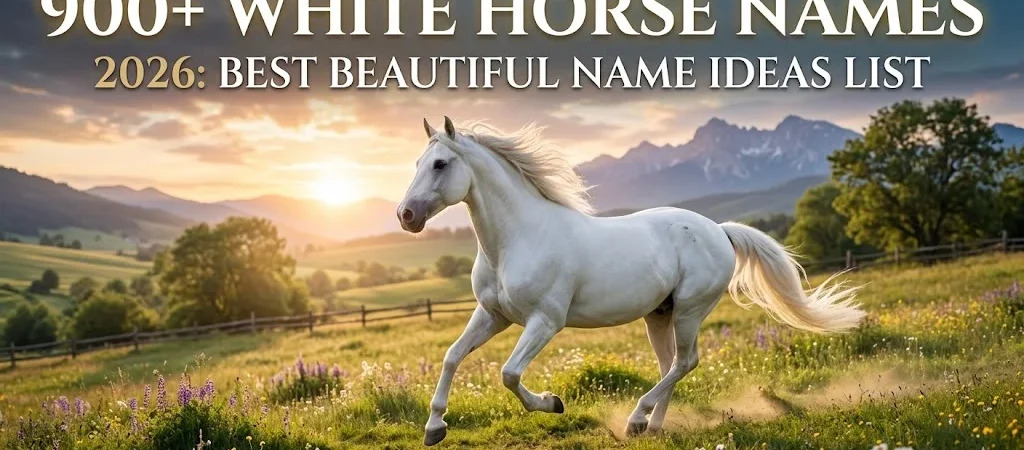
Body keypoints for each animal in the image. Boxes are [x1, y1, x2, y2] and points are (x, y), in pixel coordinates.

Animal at [398, 117, 865, 446]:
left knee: (686, 362)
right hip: (659, 314)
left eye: (440, 164)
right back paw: (652, 426)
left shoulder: (545, 321)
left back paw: (637, 419)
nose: (406, 216)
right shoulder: (493, 315)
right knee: (671, 364)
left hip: (691, 309)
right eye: (417, 163)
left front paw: (553, 403)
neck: (516, 240)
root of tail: (719, 230)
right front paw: (434, 428)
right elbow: (452, 357)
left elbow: (509, 374)